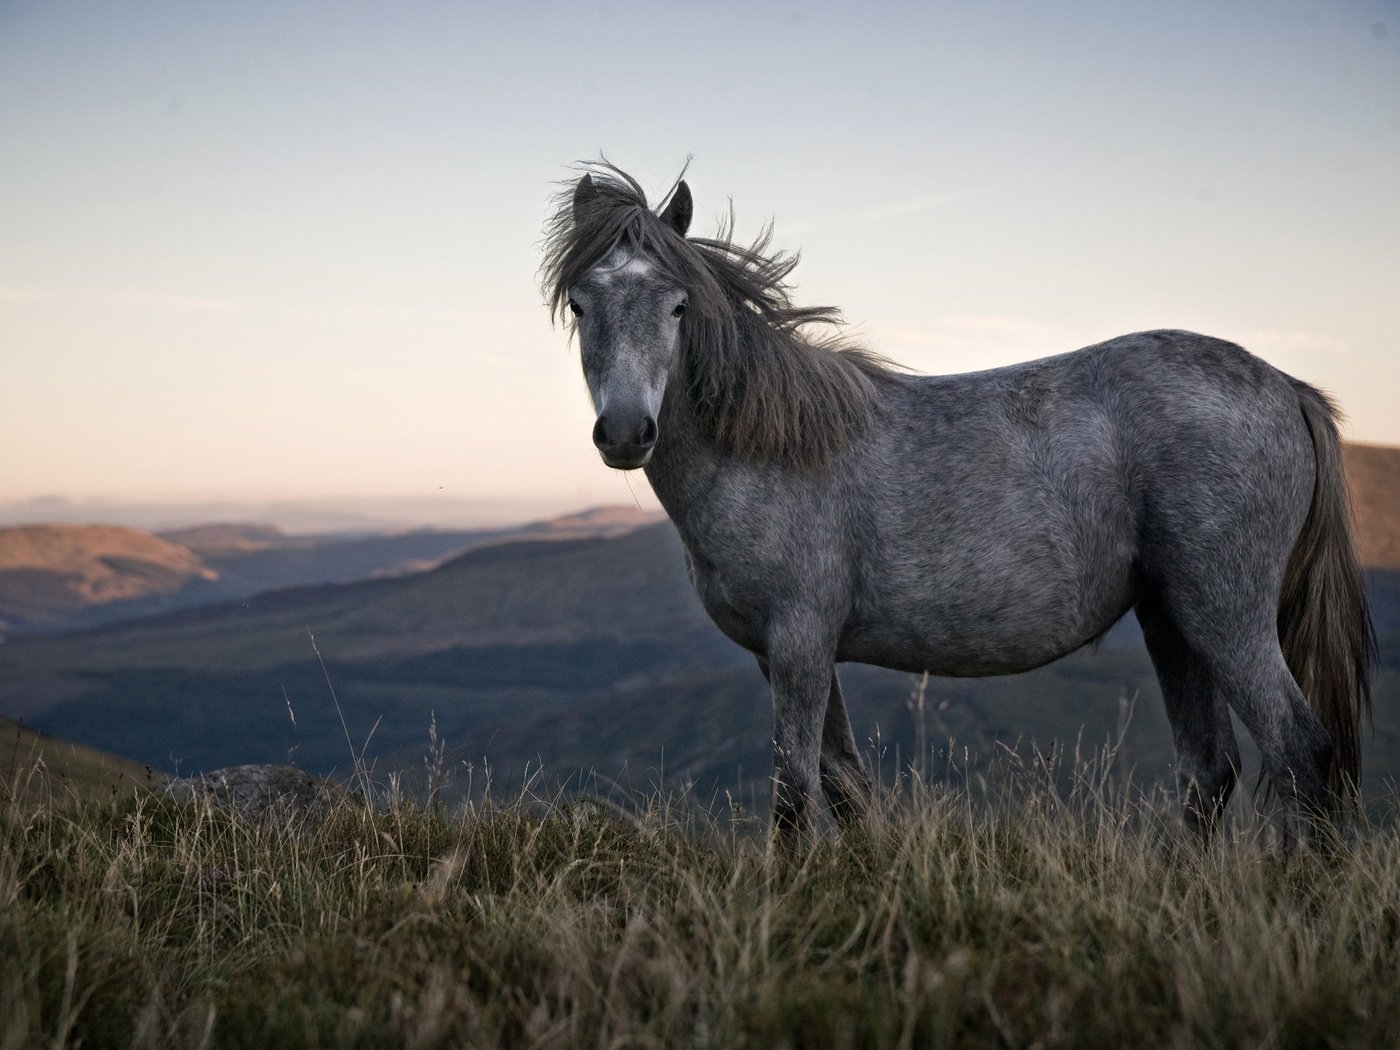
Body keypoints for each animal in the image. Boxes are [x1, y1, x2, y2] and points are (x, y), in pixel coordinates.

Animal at [540, 164, 1372, 845]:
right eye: (580, 303)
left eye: (678, 305)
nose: (626, 431)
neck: (770, 450)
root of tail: (1288, 387)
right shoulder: (783, 653)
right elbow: (844, 786)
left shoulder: (800, 641)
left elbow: (795, 794)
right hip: (1171, 618)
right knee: (1210, 770)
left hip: (1225, 615)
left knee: (1300, 751)